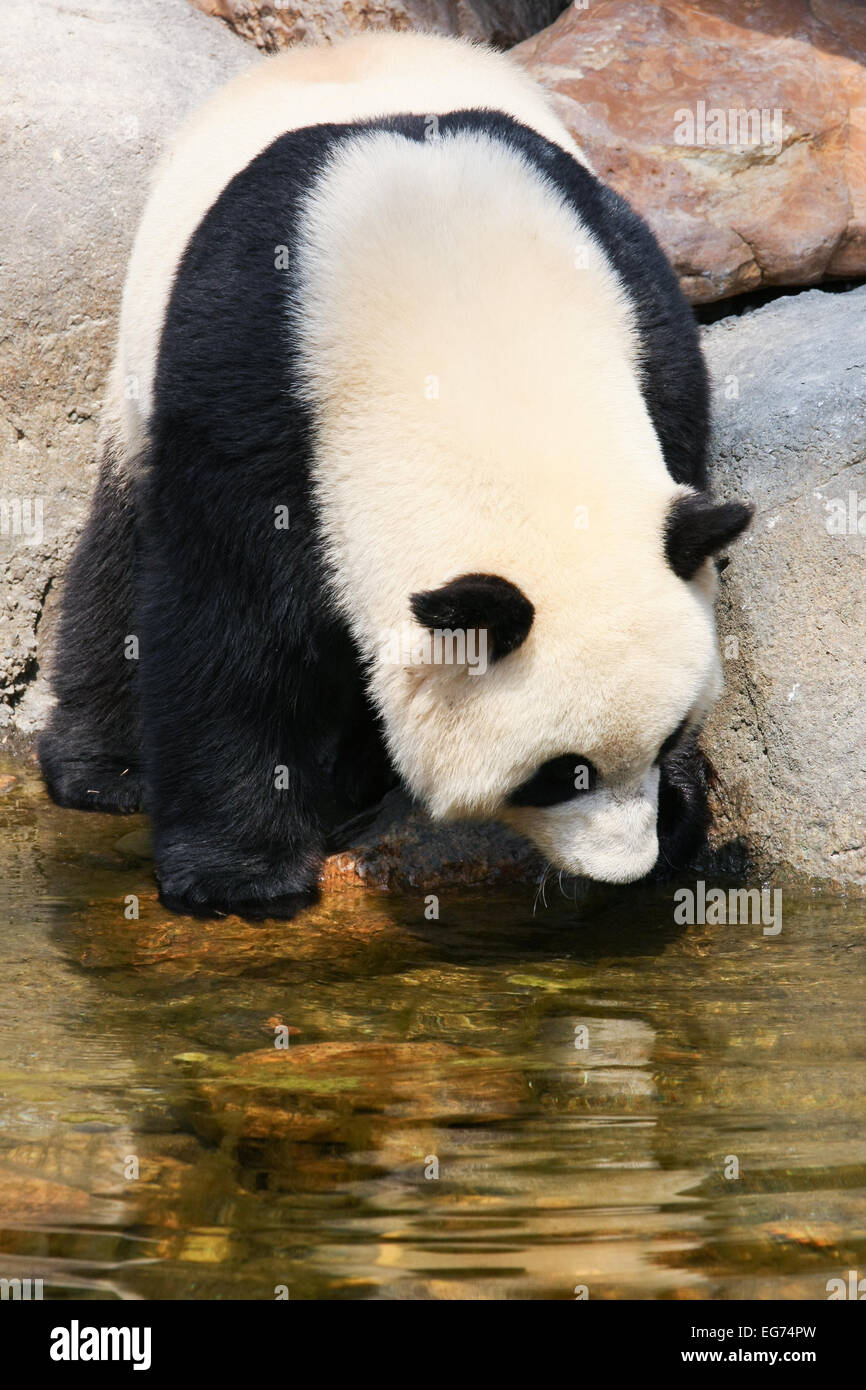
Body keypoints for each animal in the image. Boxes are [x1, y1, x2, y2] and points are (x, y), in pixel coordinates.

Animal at [38, 32, 750, 917]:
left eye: (668, 734)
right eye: (561, 775)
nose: (624, 866)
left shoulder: (648, 328)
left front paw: (684, 817)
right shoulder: (256, 379)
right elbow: (227, 618)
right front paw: (240, 876)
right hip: (138, 374)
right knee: (118, 557)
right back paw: (105, 770)